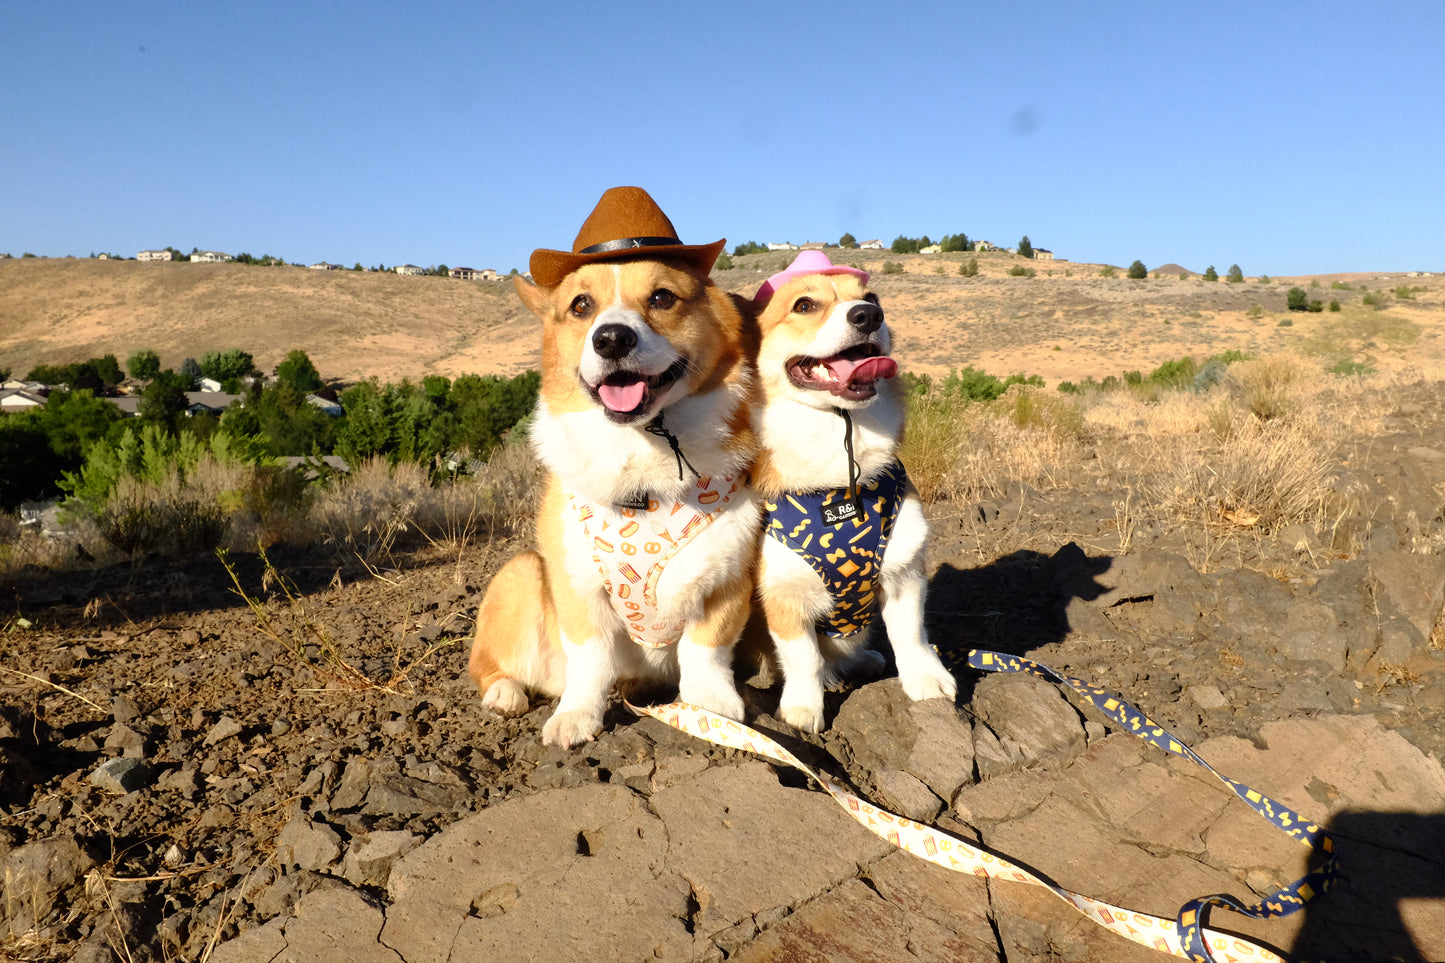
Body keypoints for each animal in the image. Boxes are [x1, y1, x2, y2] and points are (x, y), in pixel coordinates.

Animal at [468, 183, 762, 746]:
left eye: (662, 298)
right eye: (581, 305)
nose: (611, 339)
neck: (642, 462)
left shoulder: (727, 581)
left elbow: (707, 651)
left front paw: (711, 707)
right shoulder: (579, 591)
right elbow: (590, 661)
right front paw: (577, 717)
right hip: (521, 574)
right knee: (490, 666)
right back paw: (506, 694)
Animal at [745, 247, 959, 728]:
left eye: (873, 297)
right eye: (804, 305)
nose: (868, 315)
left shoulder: (904, 572)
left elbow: (911, 635)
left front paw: (926, 680)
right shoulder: (783, 596)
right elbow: (804, 659)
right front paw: (804, 709)